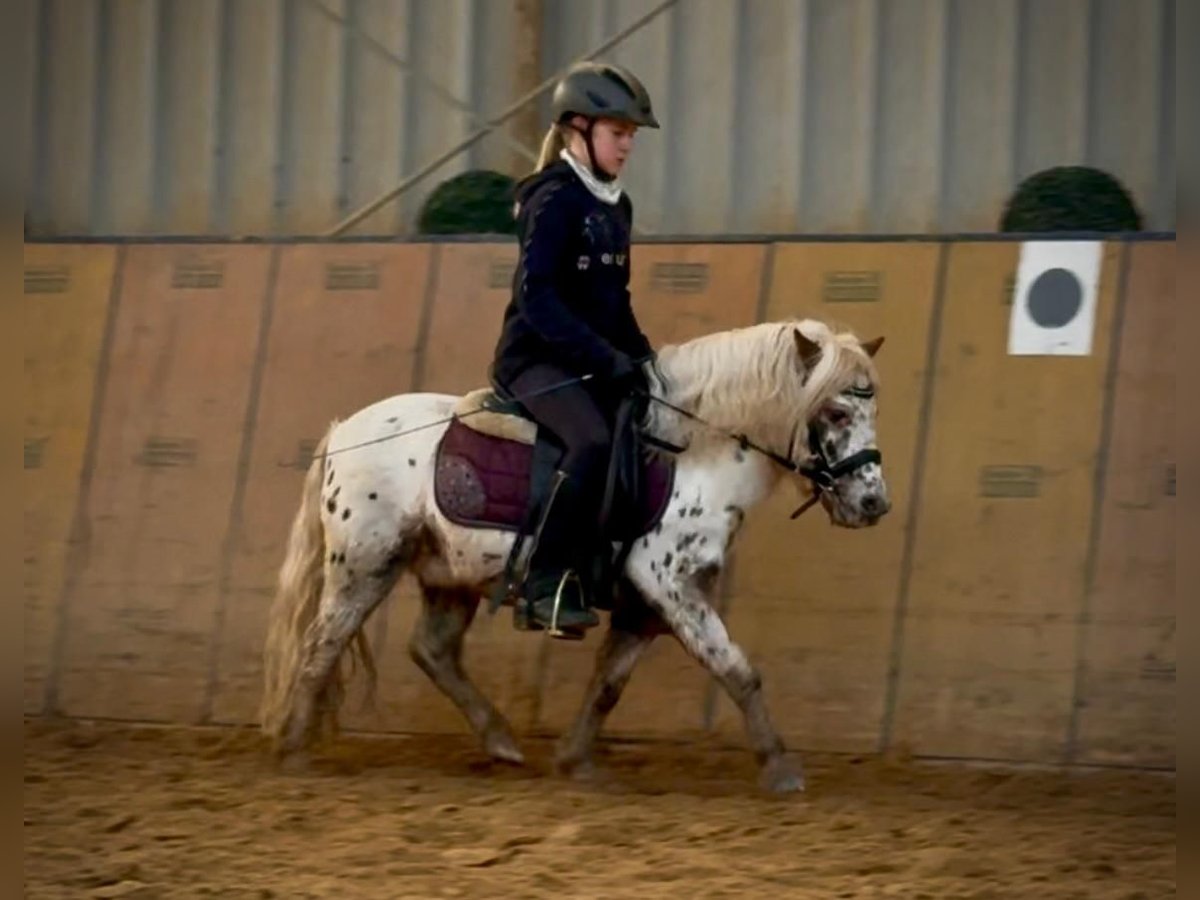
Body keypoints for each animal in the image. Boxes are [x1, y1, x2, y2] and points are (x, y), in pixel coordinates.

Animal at [259, 317, 889, 793]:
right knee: (324, 642)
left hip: (449, 573)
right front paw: (781, 769)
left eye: (871, 413)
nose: (873, 503)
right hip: (366, 565)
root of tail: (346, 430)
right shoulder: (671, 585)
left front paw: (575, 761)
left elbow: (608, 684)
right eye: (836, 412)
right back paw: (293, 751)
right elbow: (738, 670)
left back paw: (502, 742)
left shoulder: (644, 606)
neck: (693, 454)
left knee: (432, 651)